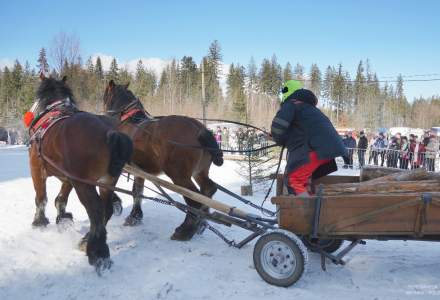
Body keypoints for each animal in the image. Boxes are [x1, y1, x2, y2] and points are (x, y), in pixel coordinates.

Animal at [28, 74, 132, 270]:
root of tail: (109, 132)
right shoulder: (68, 177)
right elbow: (61, 198)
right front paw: (63, 219)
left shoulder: (36, 168)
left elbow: (41, 198)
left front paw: (39, 222)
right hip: (107, 181)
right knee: (106, 209)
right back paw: (86, 241)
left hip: (84, 184)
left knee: (96, 210)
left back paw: (97, 252)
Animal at [102, 81, 222, 240]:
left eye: (105, 95)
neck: (129, 121)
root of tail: (199, 128)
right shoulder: (140, 171)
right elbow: (137, 191)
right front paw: (135, 216)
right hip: (199, 172)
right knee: (207, 190)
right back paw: (201, 223)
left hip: (179, 176)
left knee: (194, 200)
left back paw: (186, 229)